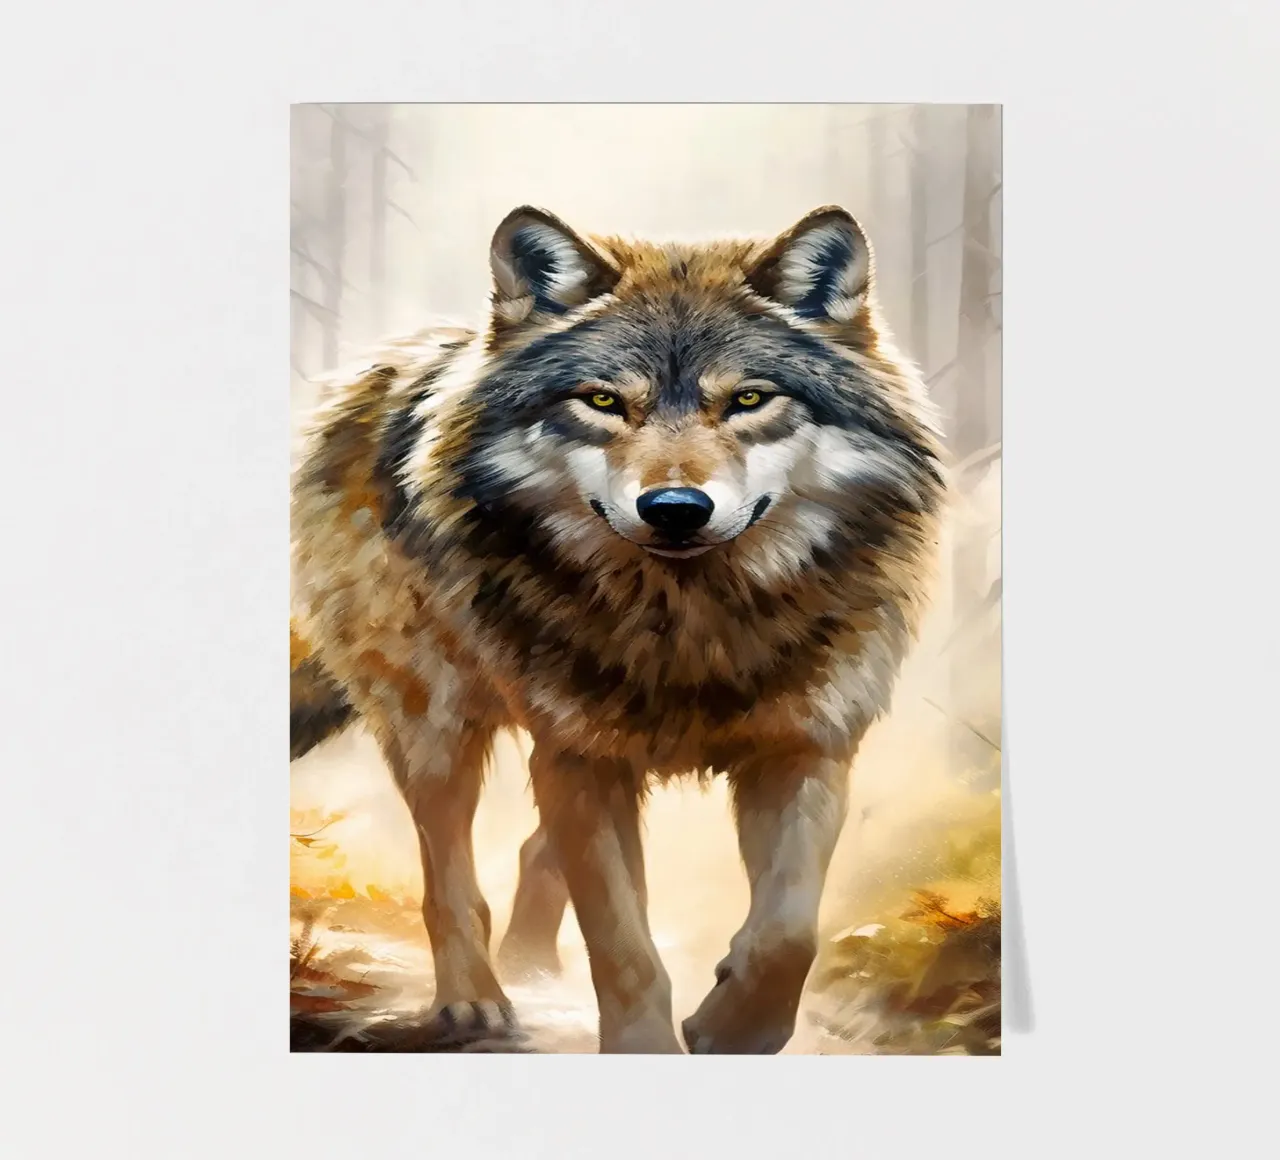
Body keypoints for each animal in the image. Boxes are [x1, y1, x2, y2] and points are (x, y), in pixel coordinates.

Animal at [289, 204, 945, 1054]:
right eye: (602, 402)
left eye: (749, 399)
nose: (675, 509)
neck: (693, 623)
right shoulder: (584, 760)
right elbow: (623, 946)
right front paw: (648, 1044)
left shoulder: (805, 746)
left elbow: (787, 936)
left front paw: (732, 1027)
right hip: (435, 722)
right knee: (450, 875)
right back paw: (475, 999)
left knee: (535, 849)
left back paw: (532, 965)